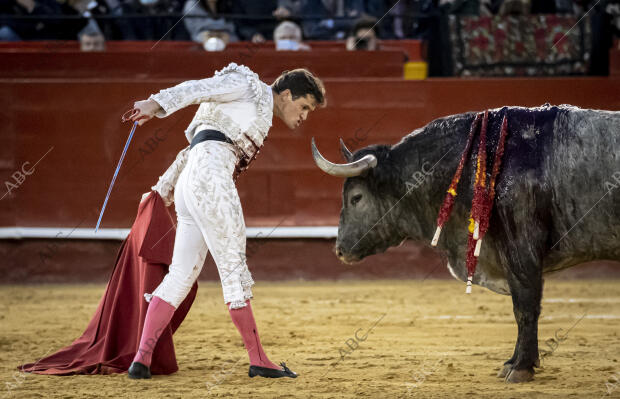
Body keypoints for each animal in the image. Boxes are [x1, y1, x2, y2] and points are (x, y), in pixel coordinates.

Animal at [314, 105, 620, 384]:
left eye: (356, 197)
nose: (340, 249)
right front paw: (513, 362)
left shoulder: (522, 250)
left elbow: (525, 307)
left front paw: (520, 368)